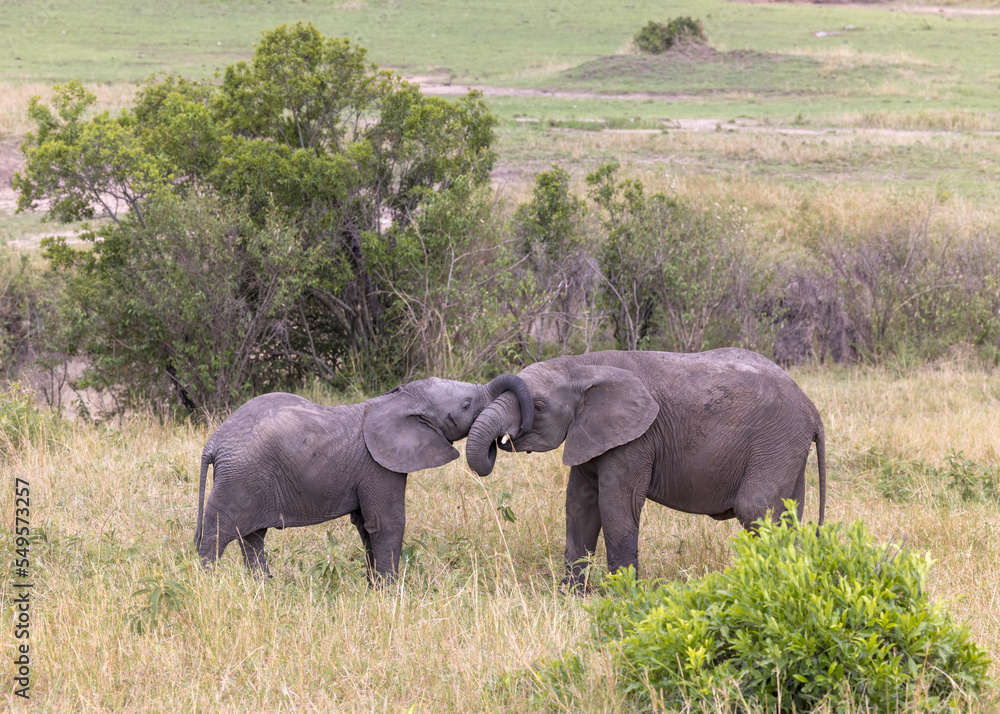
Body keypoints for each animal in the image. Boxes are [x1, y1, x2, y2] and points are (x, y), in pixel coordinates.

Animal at [195, 373, 533, 582]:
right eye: (465, 405)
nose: (509, 436)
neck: (398, 399)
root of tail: (214, 443)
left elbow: (367, 527)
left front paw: (374, 590)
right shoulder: (378, 467)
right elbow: (388, 524)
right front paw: (390, 595)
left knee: (253, 539)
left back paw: (264, 589)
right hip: (240, 478)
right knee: (217, 534)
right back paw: (208, 587)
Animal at [465, 348, 827, 585]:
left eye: (538, 407)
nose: (500, 441)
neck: (581, 366)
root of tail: (812, 408)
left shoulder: (636, 438)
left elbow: (616, 507)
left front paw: (623, 599)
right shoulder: (591, 434)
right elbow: (579, 507)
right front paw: (570, 597)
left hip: (776, 440)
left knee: (756, 509)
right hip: (785, 450)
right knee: (787, 515)